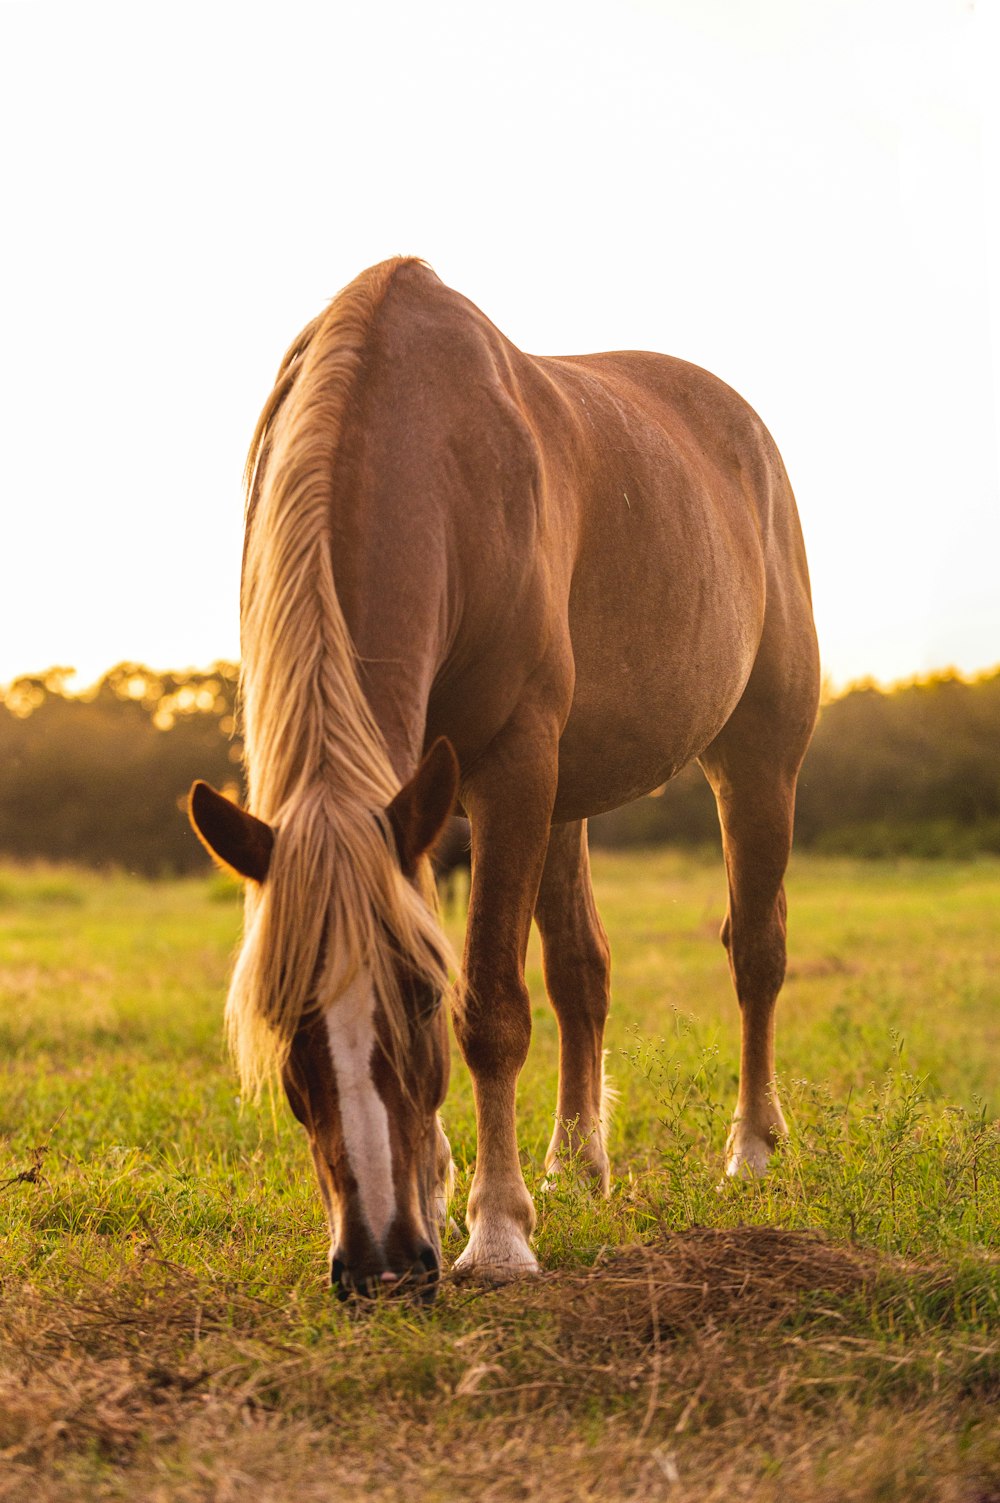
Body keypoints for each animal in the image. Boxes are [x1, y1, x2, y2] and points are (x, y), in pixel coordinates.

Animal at [189, 252, 818, 1298]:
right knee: (583, 970)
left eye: (418, 998)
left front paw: (495, 1232)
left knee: (757, 950)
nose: (380, 1265)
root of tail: (746, 430)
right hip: (567, 793)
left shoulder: (508, 766)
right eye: (281, 1015)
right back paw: (577, 1164)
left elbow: (490, 1003)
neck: (433, 448)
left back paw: (753, 1152)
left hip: (754, 758)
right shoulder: (421, 796)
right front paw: (446, 1186)